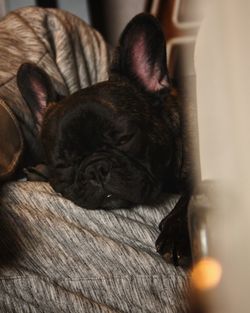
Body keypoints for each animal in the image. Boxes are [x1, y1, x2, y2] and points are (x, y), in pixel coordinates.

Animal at [0, 8, 194, 264]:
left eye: (125, 139)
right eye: (63, 163)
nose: (96, 169)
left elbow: (195, 195)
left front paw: (176, 233)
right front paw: (41, 171)